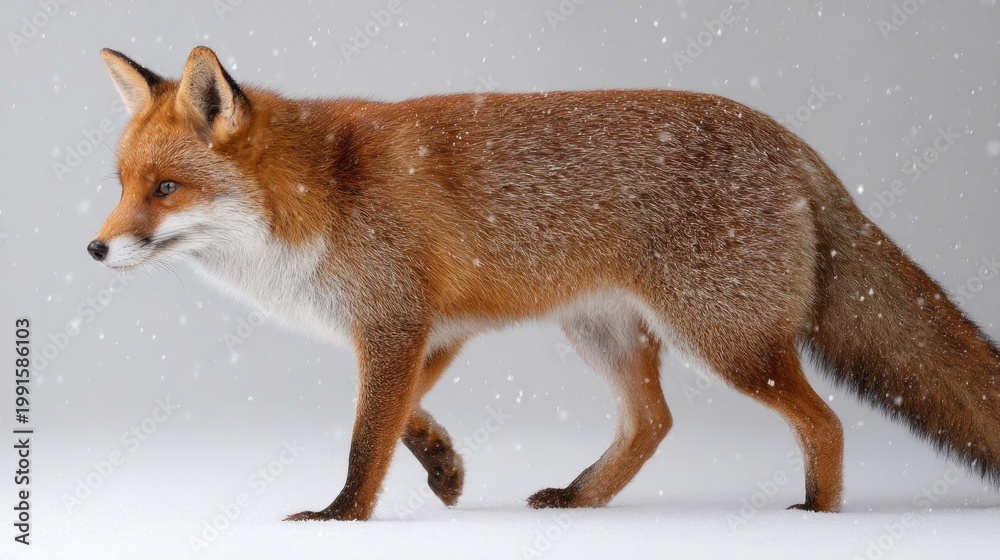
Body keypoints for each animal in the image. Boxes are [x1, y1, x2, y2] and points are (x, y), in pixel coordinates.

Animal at [89, 46, 1000, 521]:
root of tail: (791, 142)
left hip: (727, 340)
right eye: (123, 183)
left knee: (825, 421)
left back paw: (819, 515)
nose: (94, 250)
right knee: (652, 422)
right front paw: (444, 468)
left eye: (165, 189)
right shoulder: (430, 328)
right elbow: (400, 417)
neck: (320, 195)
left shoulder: (394, 323)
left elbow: (365, 434)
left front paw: (341, 516)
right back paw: (582, 496)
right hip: (603, 332)